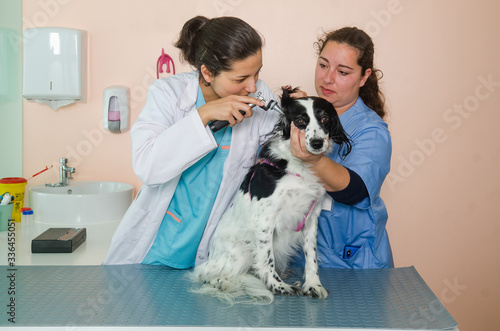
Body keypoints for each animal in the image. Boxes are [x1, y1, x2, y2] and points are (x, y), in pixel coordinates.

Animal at [189, 87, 350, 304]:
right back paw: (223, 282)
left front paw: (313, 285)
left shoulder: (311, 219)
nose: (317, 143)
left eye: (325, 119)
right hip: (241, 251)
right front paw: (277, 286)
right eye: (300, 121)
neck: (298, 166)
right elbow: (267, 259)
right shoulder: (265, 221)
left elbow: (311, 257)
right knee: (206, 273)